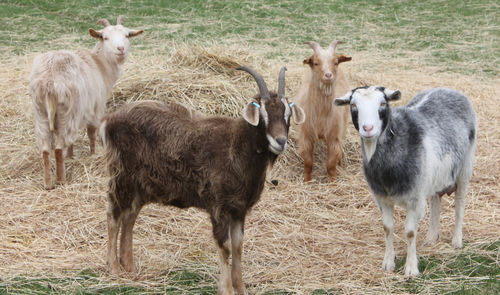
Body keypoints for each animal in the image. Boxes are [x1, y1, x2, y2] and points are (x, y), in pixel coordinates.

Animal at [29, 16, 143, 190]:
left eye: (127, 35)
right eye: (104, 37)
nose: (121, 48)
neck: (100, 65)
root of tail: (49, 82)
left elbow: (72, 143)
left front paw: (71, 156)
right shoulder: (96, 109)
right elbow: (91, 133)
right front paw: (92, 153)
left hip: (41, 113)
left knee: (46, 149)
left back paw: (48, 183)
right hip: (66, 113)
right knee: (58, 148)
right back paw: (61, 181)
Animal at [296, 40, 352, 183]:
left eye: (336, 62)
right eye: (315, 63)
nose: (328, 75)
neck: (321, 114)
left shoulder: (334, 137)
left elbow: (331, 164)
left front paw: (333, 183)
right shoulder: (306, 136)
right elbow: (308, 162)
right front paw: (307, 181)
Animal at [336, 86, 476, 276]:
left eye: (383, 104)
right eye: (353, 106)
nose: (368, 128)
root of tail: (448, 89)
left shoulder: (414, 199)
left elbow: (410, 232)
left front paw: (411, 269)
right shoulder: (382, 199)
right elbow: (387, 228)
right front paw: (388, 263)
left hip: (465, 168)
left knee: (460, 204)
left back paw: (456, 240)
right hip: (434, 175)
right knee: (435, 201)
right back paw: (432, 237)